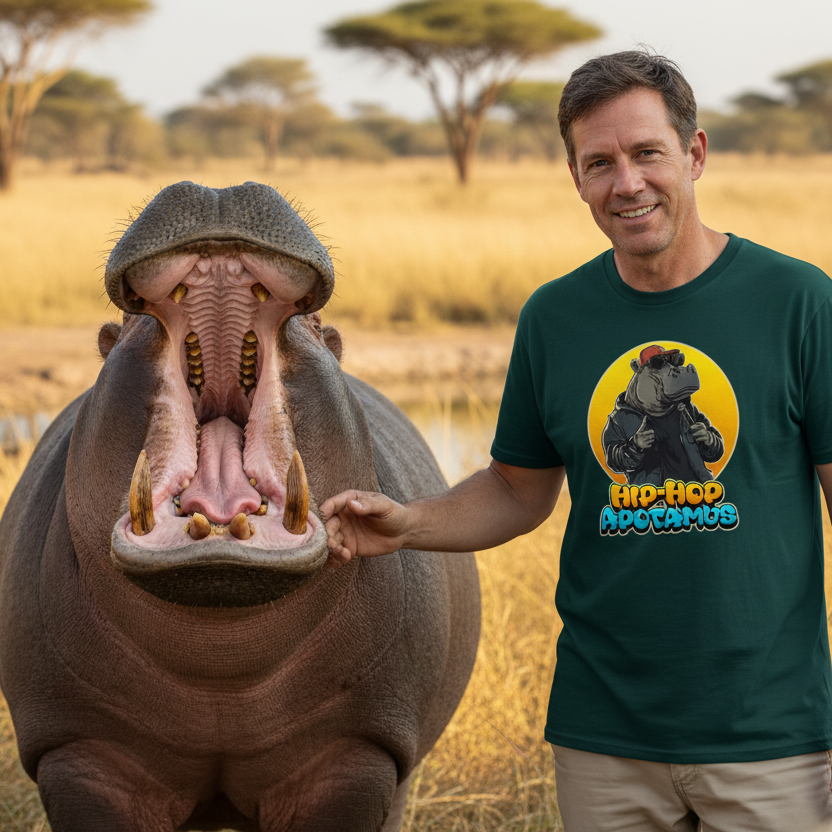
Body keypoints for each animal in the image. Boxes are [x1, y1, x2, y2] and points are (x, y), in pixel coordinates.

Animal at [0, 181, 480, 831]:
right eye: (121, 326)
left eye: (320, 327)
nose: (217, 188)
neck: (221, 666)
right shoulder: (80, 755)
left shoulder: (354, 756)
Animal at [602, 344, 724, 485]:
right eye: (656, 363)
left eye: (679, 359)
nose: (687, 368)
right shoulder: (614, 421)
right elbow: (614, 451)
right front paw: (640, 441)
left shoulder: (694, 410)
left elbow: (713, 437)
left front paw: (703, 432)